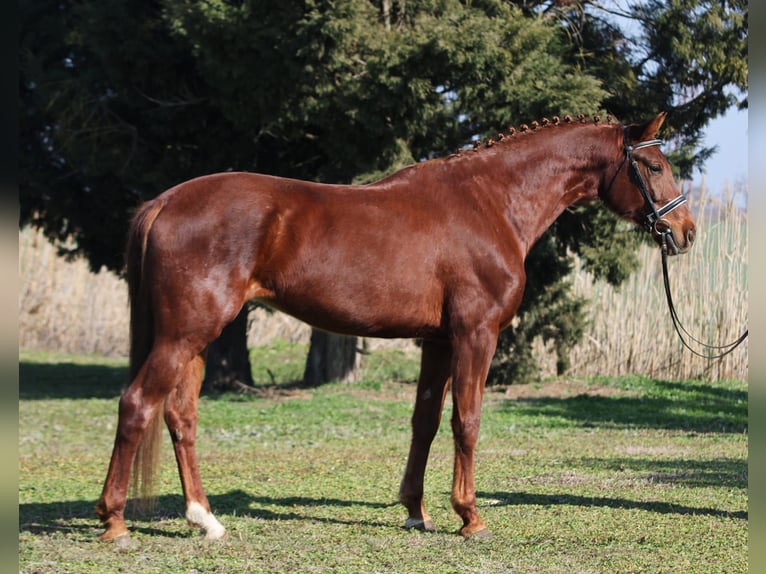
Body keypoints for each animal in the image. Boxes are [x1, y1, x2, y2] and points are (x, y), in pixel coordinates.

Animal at [94, 112, 696, 544]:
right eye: (654, 166)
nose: (686, 230)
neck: (491, 202)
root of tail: (165, 201)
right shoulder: (476, 334)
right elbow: (466, 421)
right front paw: (470, 517)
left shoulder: (438, 341)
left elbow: (424, 422)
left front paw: (416, 512)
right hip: (184, 334)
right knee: (137, 404)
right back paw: (115, 523)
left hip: (195, 339)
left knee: (180, 416)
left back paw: (205, 519)